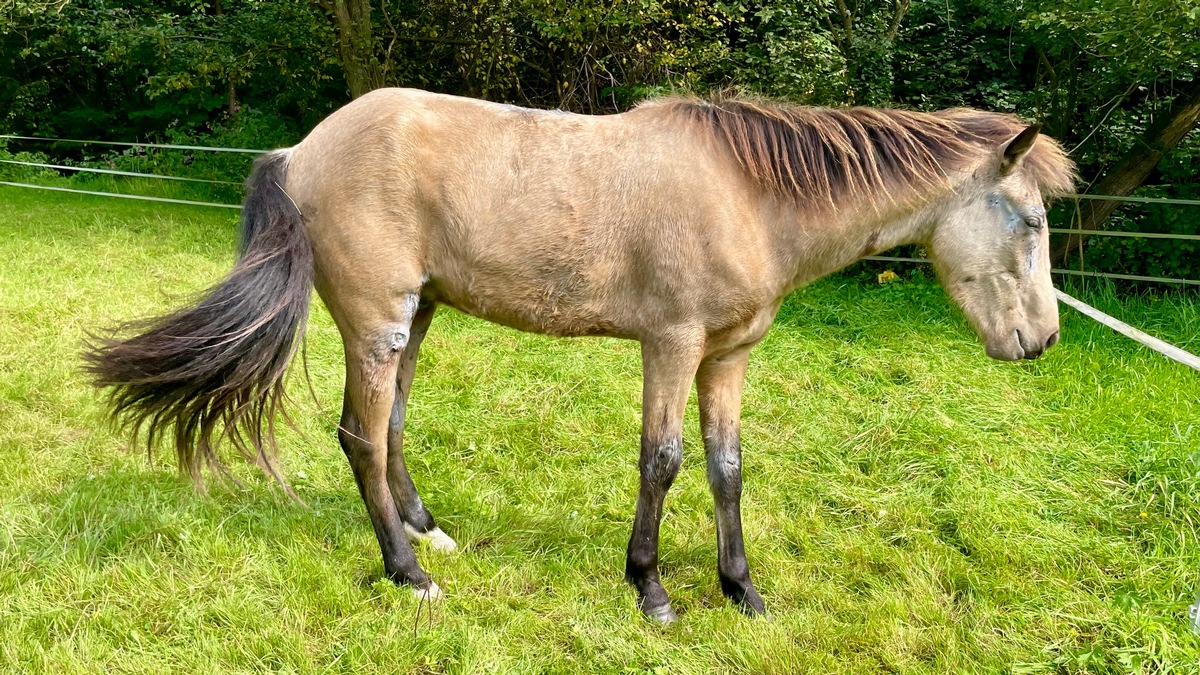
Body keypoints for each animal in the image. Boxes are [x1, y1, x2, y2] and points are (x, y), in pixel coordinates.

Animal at [84, 88, 1080, 619]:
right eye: (1031, 223)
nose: (1042, 341)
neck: (751, 195)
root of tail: (299, 151)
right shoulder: (671, 344)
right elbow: (662, 460)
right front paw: (651, 589)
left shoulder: (729, 356)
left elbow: (726, 466)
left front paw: (742, 591)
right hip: (376, 322)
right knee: (361, 437)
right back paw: (410, 573)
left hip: (419, 318)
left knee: (392, 426)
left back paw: (427, 528)